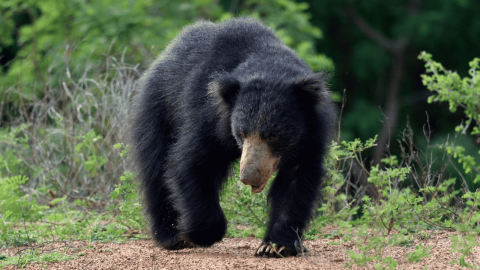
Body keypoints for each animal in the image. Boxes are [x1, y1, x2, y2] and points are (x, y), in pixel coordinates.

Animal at [129, 17, 336, 258]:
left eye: (274, 136)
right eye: (241, 133)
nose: (248, 177)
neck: (269, 65)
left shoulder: (311, 134)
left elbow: (297, 180)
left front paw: (275, 245)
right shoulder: (210, 117)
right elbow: (192, 162)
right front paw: (200, 233)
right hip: (159, 110)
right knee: (155, 169)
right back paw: (172, 237)